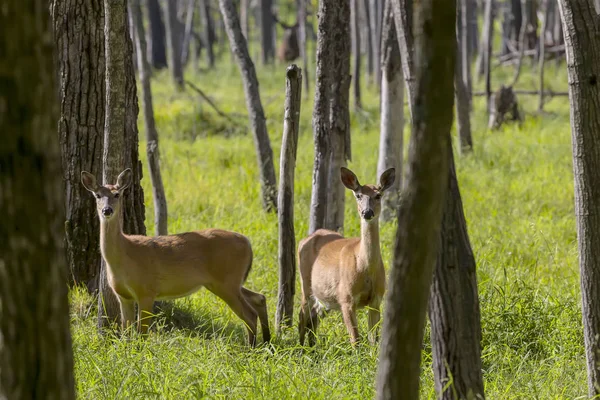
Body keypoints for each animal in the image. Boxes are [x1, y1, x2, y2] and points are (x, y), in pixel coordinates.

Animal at [81, 167, 270, 346]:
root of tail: (247, 242)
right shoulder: (123, 296)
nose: (107, 210)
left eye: (117, 194)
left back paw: (252, 348)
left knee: (249, 314)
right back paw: (267, 342)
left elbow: (142, 334)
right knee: (259, 298)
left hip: (226, 282)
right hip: (226, 282)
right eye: (98, 195)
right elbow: (126, 332)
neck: (124, 255)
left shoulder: (147, 290)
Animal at [296, 167, 394, 346]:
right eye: (358, 195)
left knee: (313, 317)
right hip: (305, 283)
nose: (367, 212)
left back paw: (312, 347)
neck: (364, 267)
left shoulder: (376, 299)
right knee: (302, 315)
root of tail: (306, 238)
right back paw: (300, 348)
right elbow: (356, 339)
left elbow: (373, 340)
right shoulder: (346, 298)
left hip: (325, 296)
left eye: (378, 195)